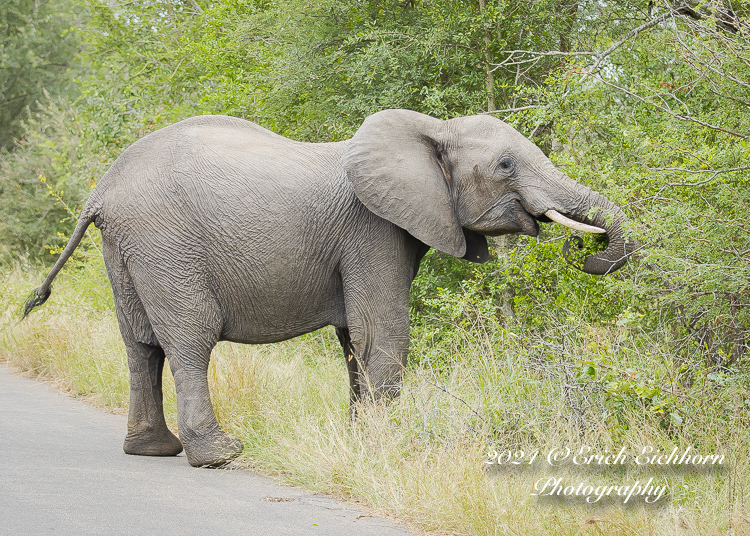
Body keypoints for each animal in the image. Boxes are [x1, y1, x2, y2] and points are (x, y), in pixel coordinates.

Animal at [25, 110, 636, 468]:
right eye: (506, 164)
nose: (586, 249)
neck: (428, 130)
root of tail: (100, 190)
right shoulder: (373, 229)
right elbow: (382, 334)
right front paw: (390, 450)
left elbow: (353, 341)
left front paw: (359, 440)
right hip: (165, 244)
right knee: (189, 342)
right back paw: (218, 454)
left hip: (127, 249)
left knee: (140, 345)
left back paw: (154, 450)